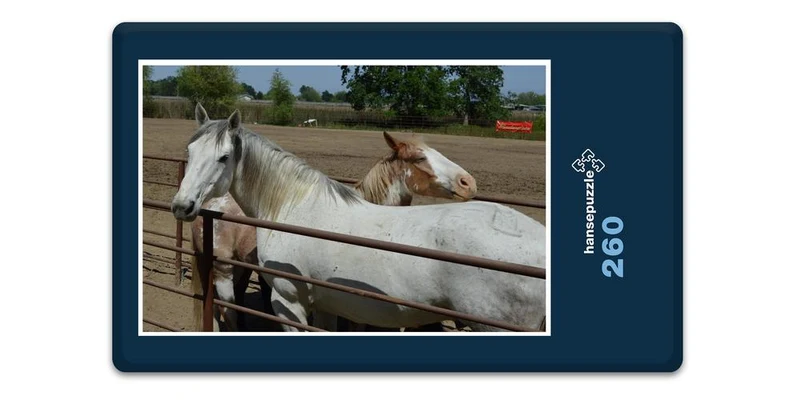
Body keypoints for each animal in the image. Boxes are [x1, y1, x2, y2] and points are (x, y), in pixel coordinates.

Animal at [173, 105, 545, 332]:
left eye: (224, 157)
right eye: (189, 151)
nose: (182, 205)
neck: (293, 207)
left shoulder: (289, 302)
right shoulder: (326, 303)